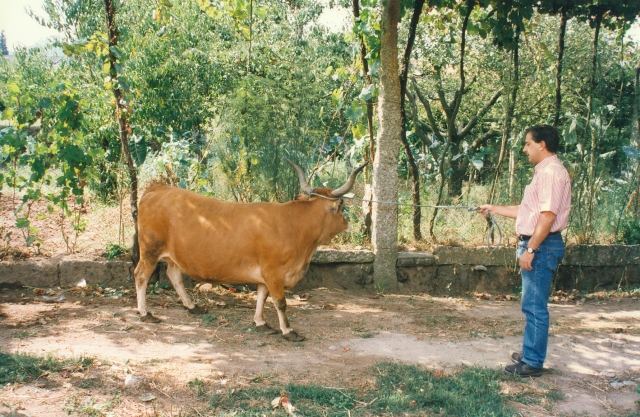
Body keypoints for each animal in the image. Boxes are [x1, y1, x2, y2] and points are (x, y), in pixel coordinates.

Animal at [134, 161, 364, 340]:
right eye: (342, 207)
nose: (348, 225)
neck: (294, 226)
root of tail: (159, 188)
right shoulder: (273, 273)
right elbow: (280, 303)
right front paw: (288, 331)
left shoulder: (266, 274)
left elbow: (262, 296)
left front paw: (261, 323)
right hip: (150, 250)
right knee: (141, 276)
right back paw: (145, 313)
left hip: (172, 255)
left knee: (174, 275)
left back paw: (192, 306)